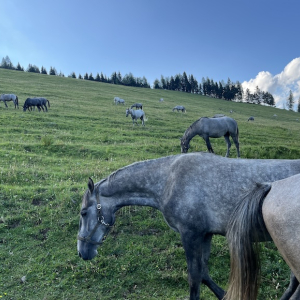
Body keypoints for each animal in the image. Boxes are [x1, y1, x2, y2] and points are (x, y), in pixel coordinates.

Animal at [76, 154, 300, 298]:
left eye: (83, 212)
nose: (82, 252)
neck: (168, 180)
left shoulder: (190, 235)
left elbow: (194, 278)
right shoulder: (205, 234)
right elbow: (204, 273)